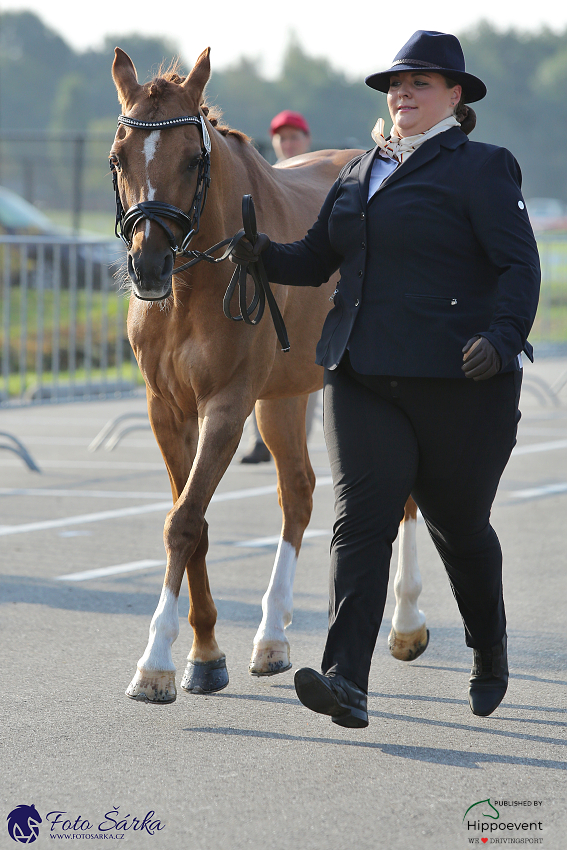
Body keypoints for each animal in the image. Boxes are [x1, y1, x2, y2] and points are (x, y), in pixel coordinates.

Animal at [111, 44, 428, 704]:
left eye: (191, 158)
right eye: (119, 155)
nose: (148, 264)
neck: (194, 286)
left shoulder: (228, 405)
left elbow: (184, 521)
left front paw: (156, 662)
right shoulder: (167, 410)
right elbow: (195, 520)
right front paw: (206, 654)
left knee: (403, 496)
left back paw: (408, 622)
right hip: (282, 397)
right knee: (299, 492)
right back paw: (272, 636)